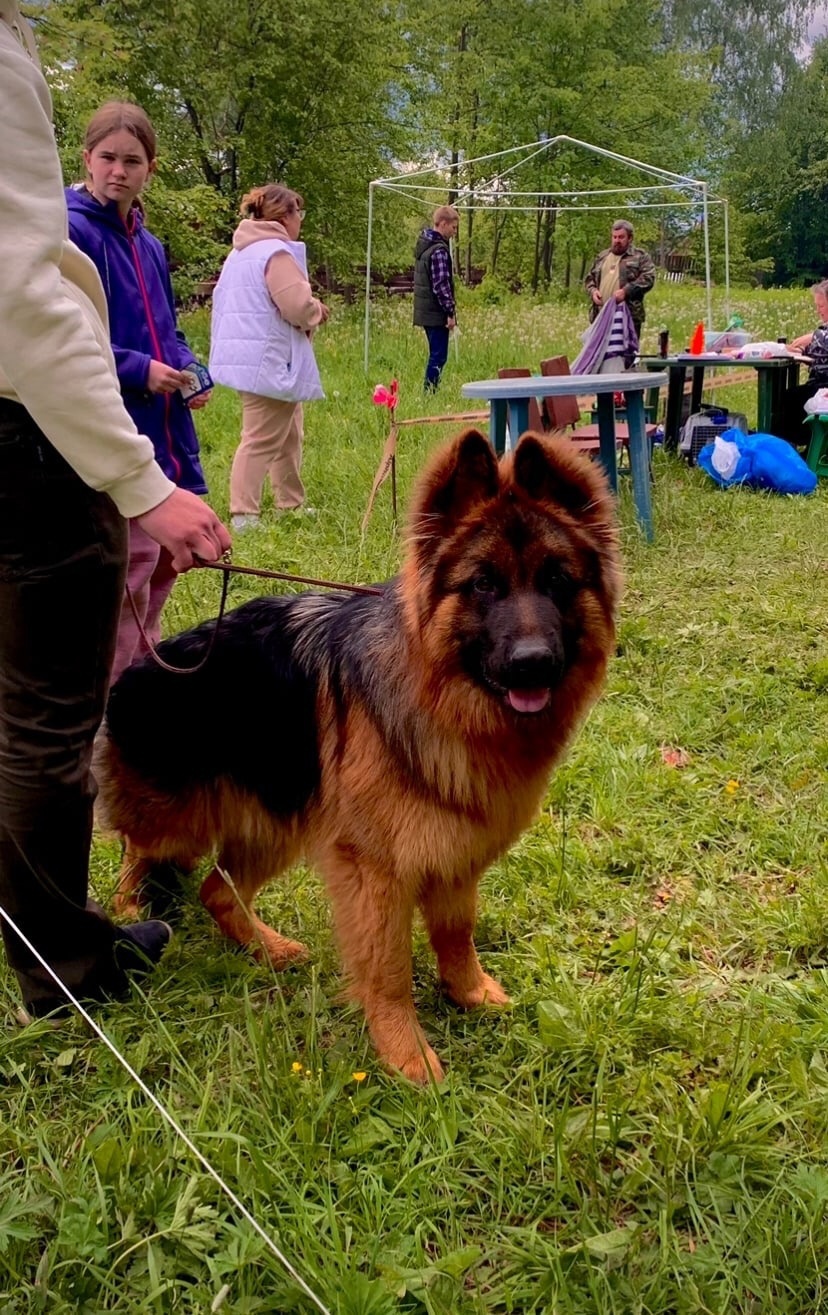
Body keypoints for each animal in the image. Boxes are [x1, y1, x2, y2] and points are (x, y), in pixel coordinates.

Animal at [97, 431, 620, 1078]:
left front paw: (468, 993)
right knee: (138, 846)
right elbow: (389, 967)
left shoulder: (454, 850)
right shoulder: (377, 873)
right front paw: (405, 1053)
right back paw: (127, 906)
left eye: (556, 580)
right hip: (181, 821)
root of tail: (139, 669)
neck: (437, 693)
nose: (533, 665)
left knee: (214, 890)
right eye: (483, 585)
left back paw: (267, 948)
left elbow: (457, 932)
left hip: (276, 824)